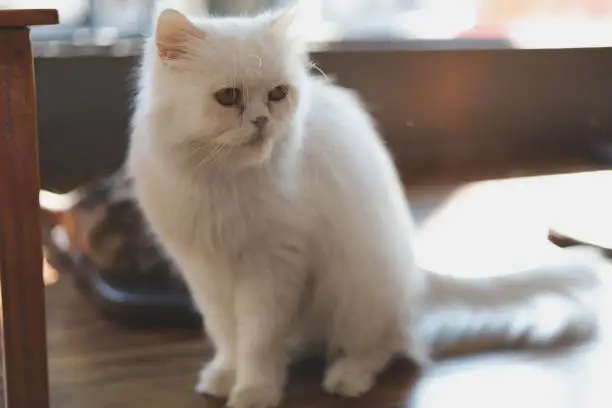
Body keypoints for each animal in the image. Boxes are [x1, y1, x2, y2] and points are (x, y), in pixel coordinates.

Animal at [128, 5, 604, 408]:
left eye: (278, 94)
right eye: (228, 97)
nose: (262, 121)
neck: (222, 183)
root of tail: (413, 278)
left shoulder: (272, 268)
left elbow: (257, 339)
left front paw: (254, 390)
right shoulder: (204, 272)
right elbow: (227, 334)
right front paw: (225, 375)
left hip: (355, 289)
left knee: (388, 345)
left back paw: (347, 376)